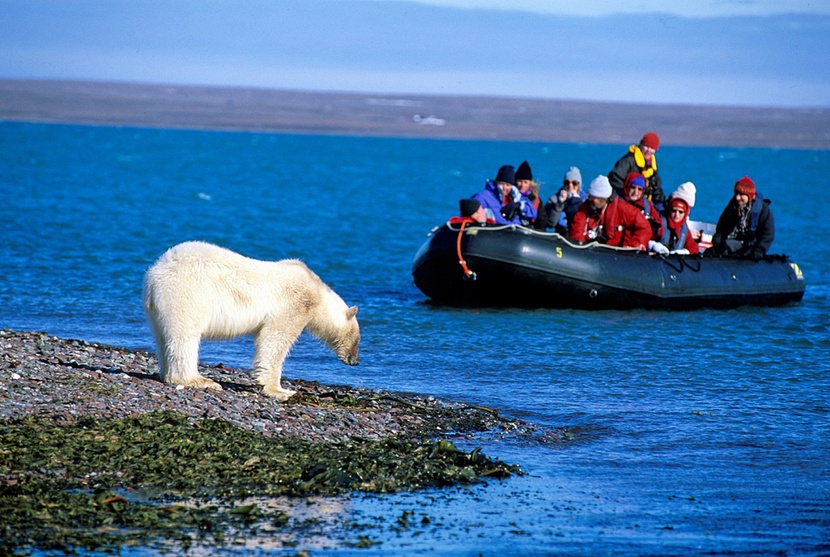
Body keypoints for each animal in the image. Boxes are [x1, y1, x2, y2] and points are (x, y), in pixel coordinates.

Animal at [142, 240, 360, 400]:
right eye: (358, 339)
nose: (355, 361)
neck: (317, 292)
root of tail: (155, 274)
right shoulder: (294, 304)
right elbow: (274, 340)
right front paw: (281, 390)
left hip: (157, 309)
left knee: (162, 337)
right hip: (187, 294)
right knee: (184, 336)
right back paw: (198, 380)